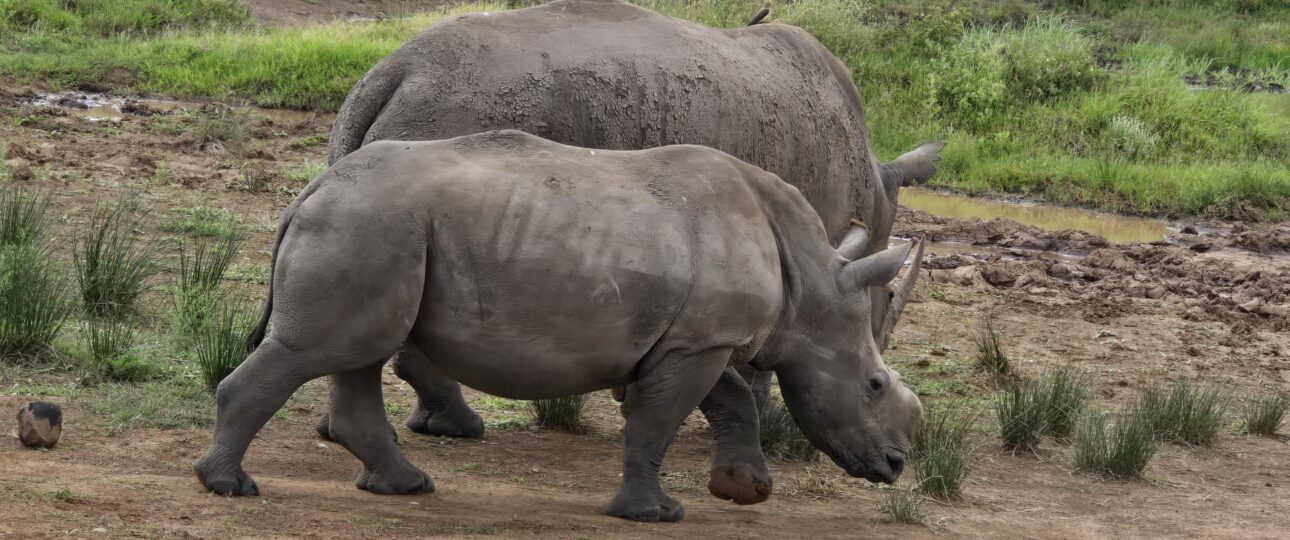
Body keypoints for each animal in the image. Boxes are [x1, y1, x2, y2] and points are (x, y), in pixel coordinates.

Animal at [196, 131, 924, 522]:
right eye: (874, 385)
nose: (895, 466)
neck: (812, 283)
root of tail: (313, 188)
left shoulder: (697, 337)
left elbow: (731, 400)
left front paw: (745, 490)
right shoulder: (700, 341)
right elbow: (658, 423)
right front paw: (655, 514)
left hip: (376, 228)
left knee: (359, 354)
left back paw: (406, 486)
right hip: (367, 223)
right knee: (316, 350)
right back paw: (228, 487)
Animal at [323, 0, 940, 444]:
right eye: (885, 306)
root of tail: (395, 71)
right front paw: (770, 425)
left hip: (398, 122)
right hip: (458, 115)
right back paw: (459, 427)